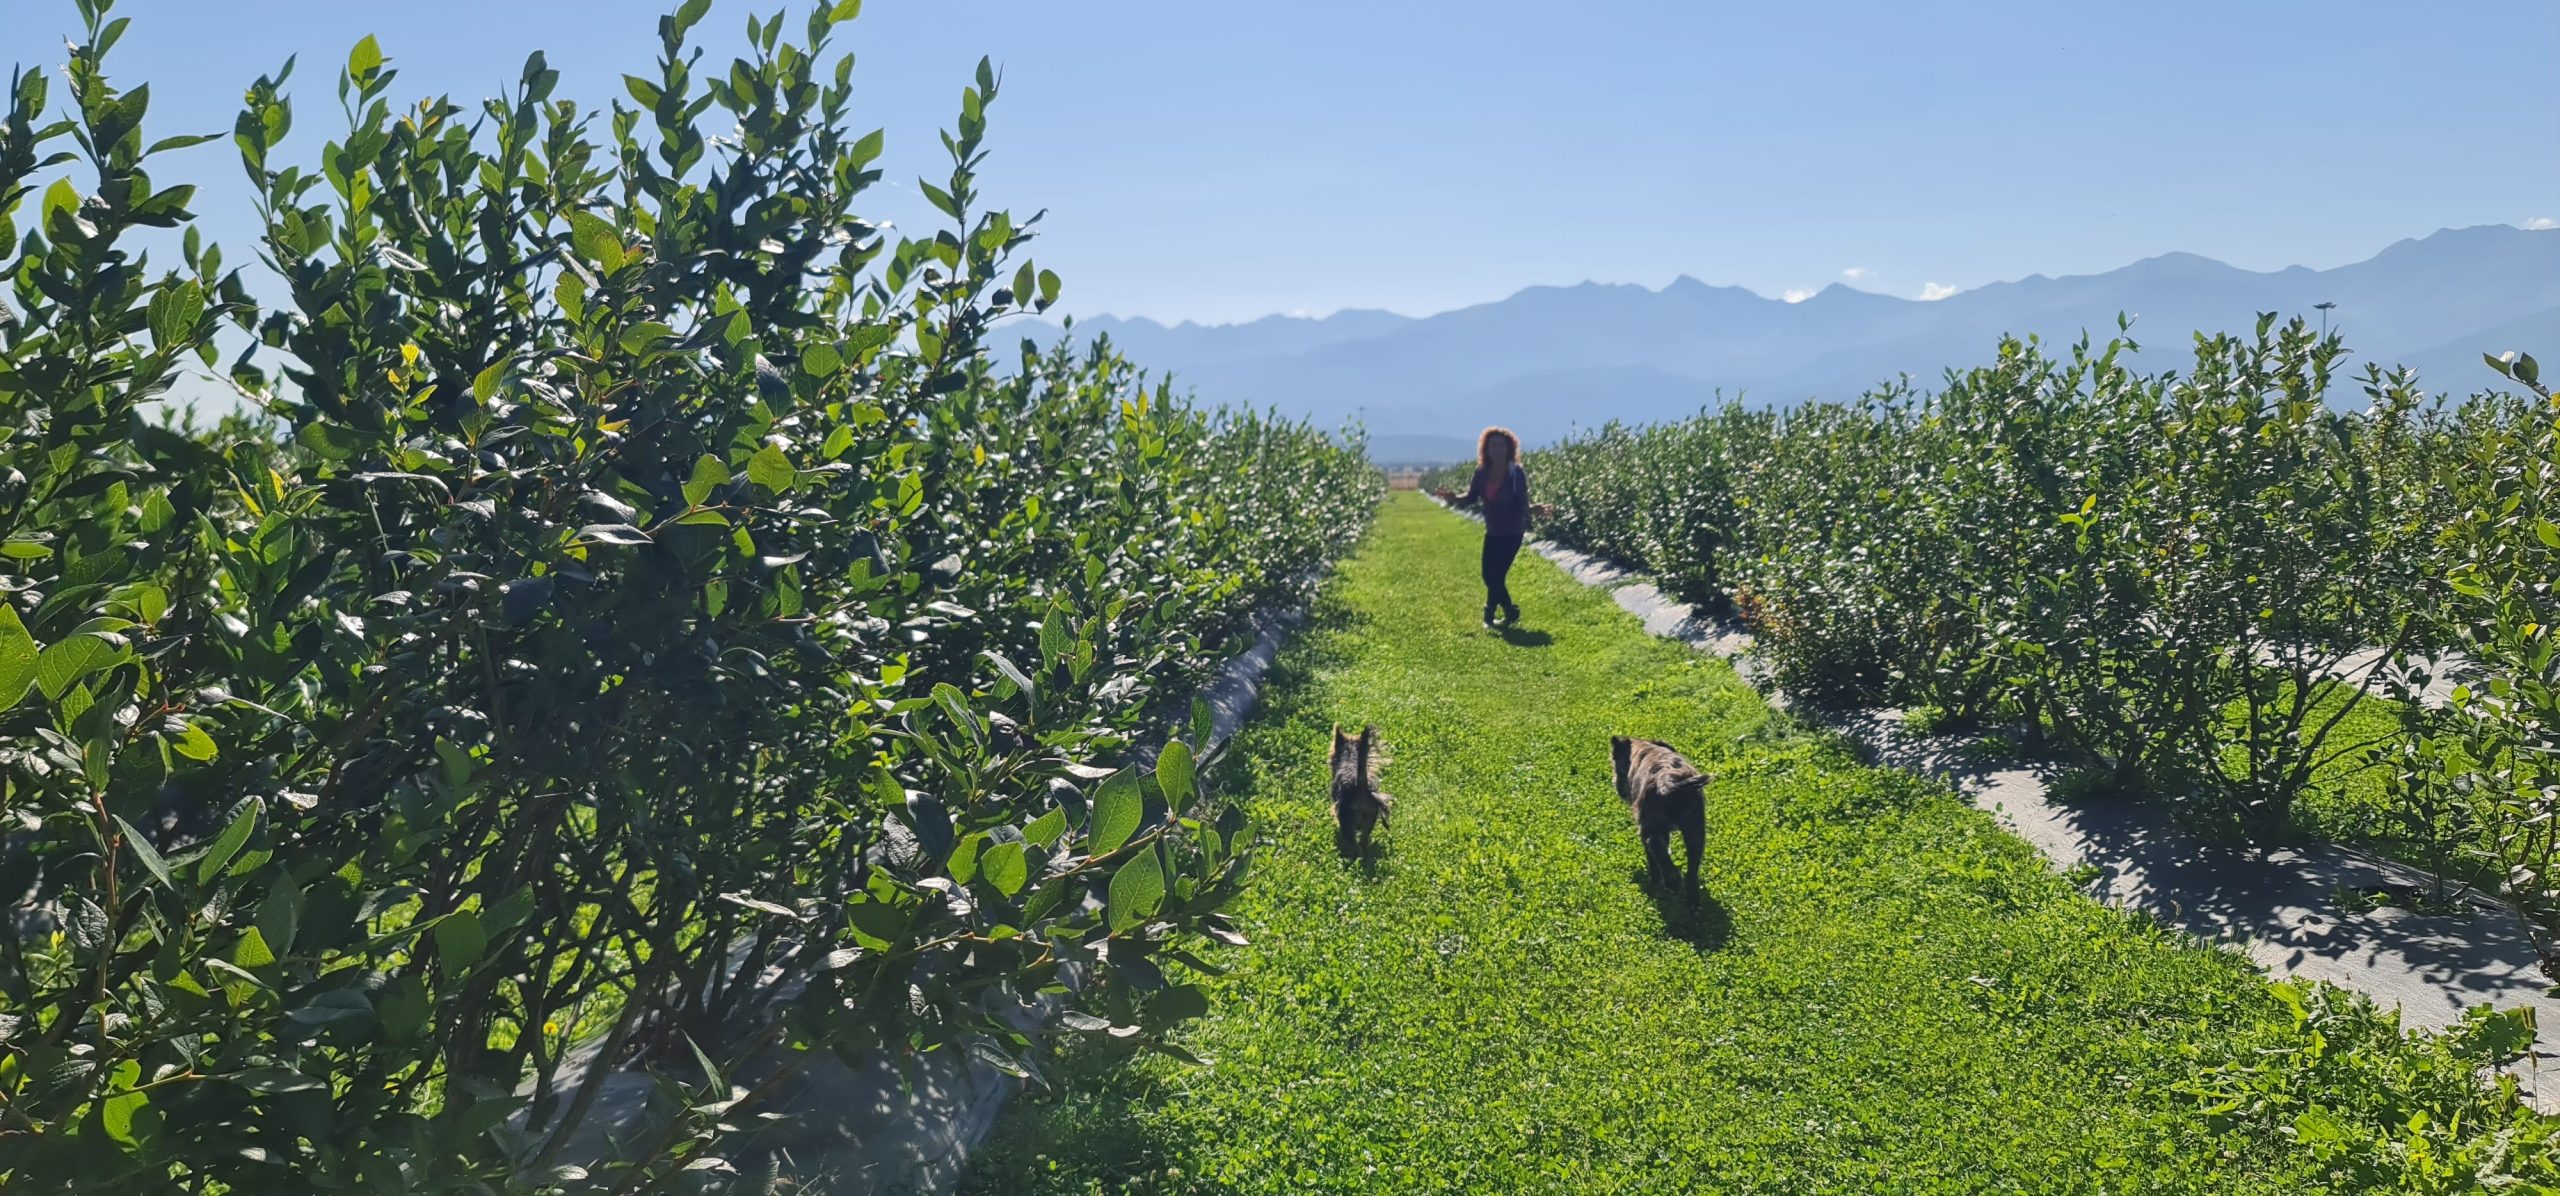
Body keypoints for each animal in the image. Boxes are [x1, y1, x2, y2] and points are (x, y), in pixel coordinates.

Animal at [1331, 722, 1392, 860]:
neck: (1350, 759)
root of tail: (1360, 788)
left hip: (1347, 822)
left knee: (1353, 844)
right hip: (1369, 821)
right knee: (1363, 842)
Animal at [1607, 737, 1710, 901]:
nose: (1617, 788)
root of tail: (1668, 779)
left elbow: (1653, 859)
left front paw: (1655, 881)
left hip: (1649, 827)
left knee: (1654, 845)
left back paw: (1672, 881)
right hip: (1695, 830)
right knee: (1692, 868)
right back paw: (1692, 899)